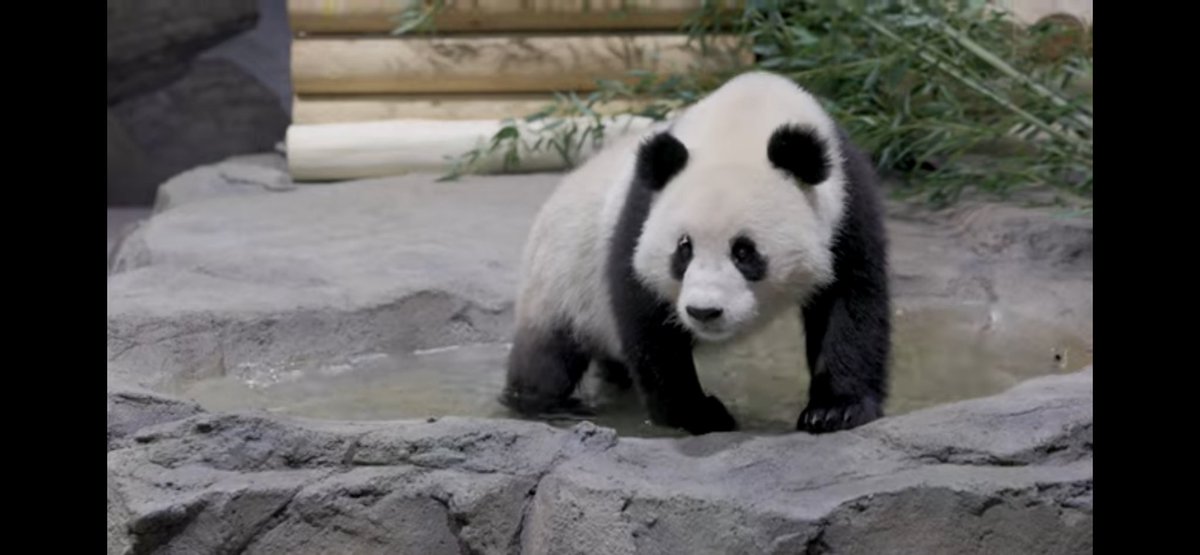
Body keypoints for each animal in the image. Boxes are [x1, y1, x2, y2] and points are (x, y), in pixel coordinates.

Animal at [501, 71, 890, 435]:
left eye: (744, 252)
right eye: (683, 249)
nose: (704, 311)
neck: (746, 120)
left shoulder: (848, 205)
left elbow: (850, 299)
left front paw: (834, 410)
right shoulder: (642, 214)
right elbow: (648, 317)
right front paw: (698, 414)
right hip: (563, 275)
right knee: (549, 353)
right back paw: (547, 403)